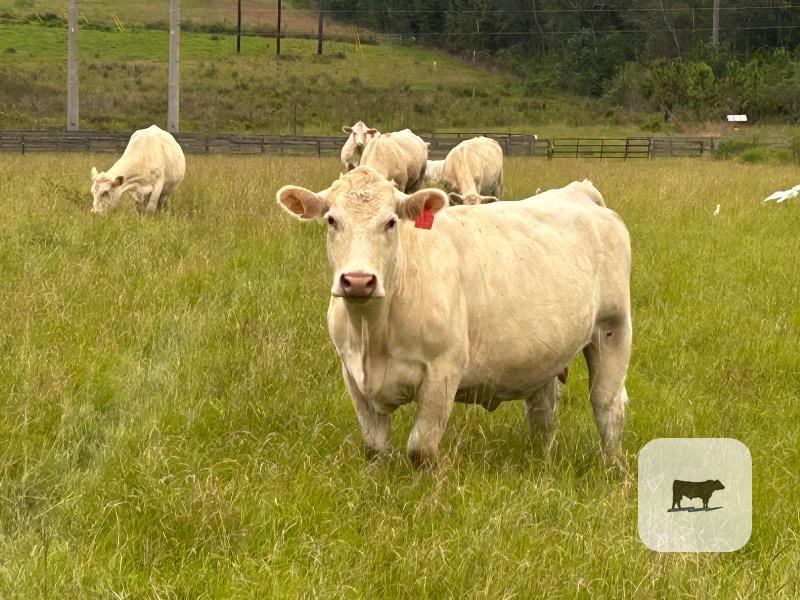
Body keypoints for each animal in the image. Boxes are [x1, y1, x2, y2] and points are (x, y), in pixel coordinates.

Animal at [276, 166, 632, 468]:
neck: (372, 334)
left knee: (607, 404)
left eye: (390, 221)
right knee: (542, 412)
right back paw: (540, 463)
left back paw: (611, 467)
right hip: (544, 353)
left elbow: (421, 450)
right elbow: (375, 450)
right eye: (332, 220)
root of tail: (579, 190)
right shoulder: (353, 376)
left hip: (613, 328)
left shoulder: (442, 372)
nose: (359, 280)